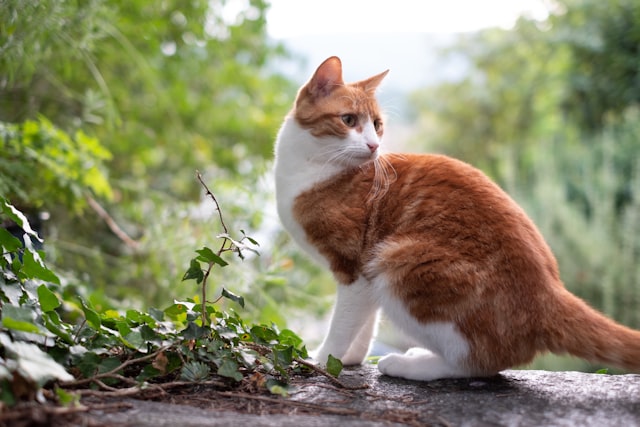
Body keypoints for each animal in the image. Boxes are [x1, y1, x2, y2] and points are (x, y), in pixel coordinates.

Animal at [272, 56, 640, 382]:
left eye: (376, 125)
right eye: (349, 120)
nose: (374, 146)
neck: (314, 170)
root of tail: (550, 293)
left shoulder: (356, 269)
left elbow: (342, 326)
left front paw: (322, 360)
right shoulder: (365, 280)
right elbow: (365, 325)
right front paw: (350, 359)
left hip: (397, 262)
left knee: (480, 363)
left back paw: (411, 365)